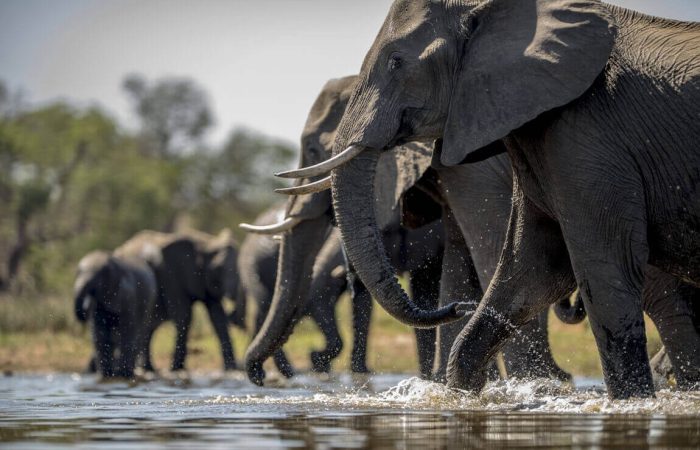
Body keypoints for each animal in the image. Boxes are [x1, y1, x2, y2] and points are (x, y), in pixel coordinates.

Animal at [74, 250, 157, 378]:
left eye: (97, 279)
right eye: (77, 273)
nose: (84, 308)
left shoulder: (128, 295)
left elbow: (127, 332)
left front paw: (123, 374)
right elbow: (100, 334)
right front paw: (106, 375)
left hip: (149, 303)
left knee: (139, 334)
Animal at [115, 229, 243, 372]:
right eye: (218, 268)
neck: (206, 243)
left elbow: (217, 317)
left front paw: (231, 369)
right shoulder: (171, 273)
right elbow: (183, 314)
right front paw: (176, 369)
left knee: (149, 327)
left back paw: (149, 369)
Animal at [242, 75, 573, 385]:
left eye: (313, 150)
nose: (260, 377)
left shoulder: (475, 170)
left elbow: (491, 251)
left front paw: (528, 382)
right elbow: (456, 263)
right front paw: (443, 384)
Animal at [286, 0, 700, 398]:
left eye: (396, 61)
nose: (456, 310)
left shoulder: (586, 138)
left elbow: (597, 267)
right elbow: (528, 269)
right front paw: (465, 392)